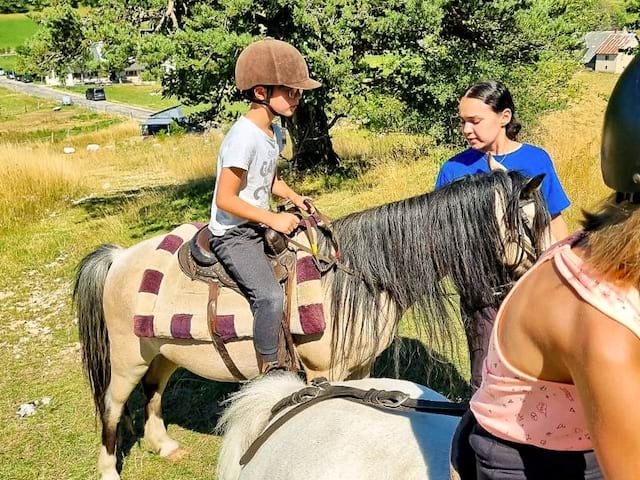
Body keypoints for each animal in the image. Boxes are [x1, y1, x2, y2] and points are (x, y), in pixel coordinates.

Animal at [71, 168, 552, 476]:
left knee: (154, 390)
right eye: (528, 226)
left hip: (164, 350)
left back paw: (164, 445)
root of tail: (119, 258)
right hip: (127, 356)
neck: (356, 276)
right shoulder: (323, 371)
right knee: (113, 405)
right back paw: (109, 471)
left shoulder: (359, 369)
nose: (542, 287)